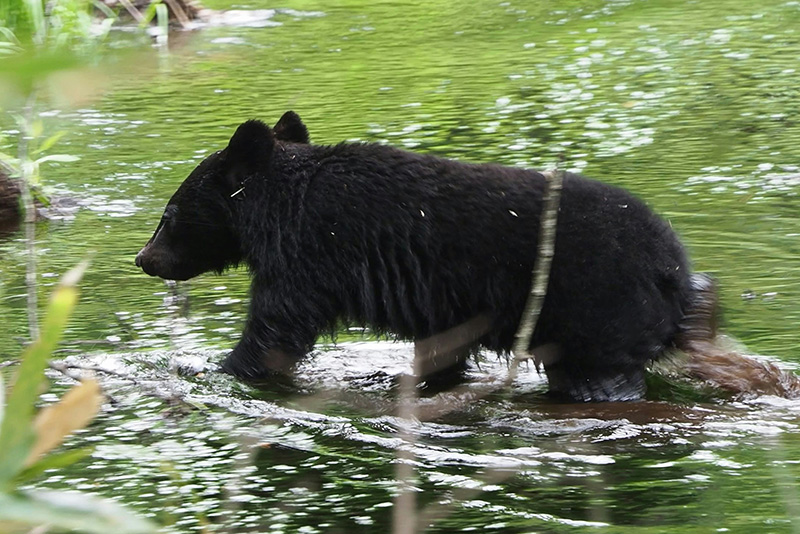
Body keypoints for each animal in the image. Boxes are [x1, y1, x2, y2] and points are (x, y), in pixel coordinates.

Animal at [136, 111, 712, 402]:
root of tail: (675, 274)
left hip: (596, 309)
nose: (144, 258)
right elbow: (441, 347)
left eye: (169, 213)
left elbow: (276, 329)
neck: (279, 208)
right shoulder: (441, 300)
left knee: (601, 379)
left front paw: (214, 369)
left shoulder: (309, 256)